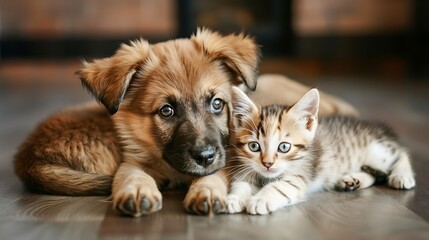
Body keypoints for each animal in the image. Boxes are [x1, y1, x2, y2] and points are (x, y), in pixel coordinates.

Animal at [227, 86, 414, 216]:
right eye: (254, 146)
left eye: (284, 147)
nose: (267, 164)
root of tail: (379, 127)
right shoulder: (247, 169)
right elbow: (241, 183)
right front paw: (234, 198)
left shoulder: (299, 176)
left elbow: (280, 187)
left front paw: (259, 199)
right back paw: (353, 181)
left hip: (377, 151)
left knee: (401, 153)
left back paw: (402, 176)